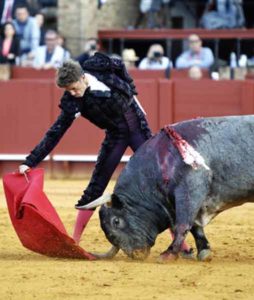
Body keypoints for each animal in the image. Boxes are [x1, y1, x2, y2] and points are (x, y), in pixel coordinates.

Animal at [98, 116, 254, 262]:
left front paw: (168, 254)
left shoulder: (190, 191)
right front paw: (204, 251)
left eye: (116, 221)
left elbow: (183, 224)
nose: (136, 254)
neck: (162, 162)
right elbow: (194, 227)